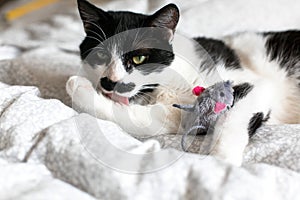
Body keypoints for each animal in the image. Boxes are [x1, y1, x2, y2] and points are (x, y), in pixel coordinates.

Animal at [66, 0, 300, 166]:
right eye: (101, 55)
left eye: (139, 58)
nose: (109, 82)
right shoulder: (174, 115)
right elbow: (143, 121)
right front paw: (80, 89)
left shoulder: (257, 83)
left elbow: (233, 116)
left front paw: (222, 159)